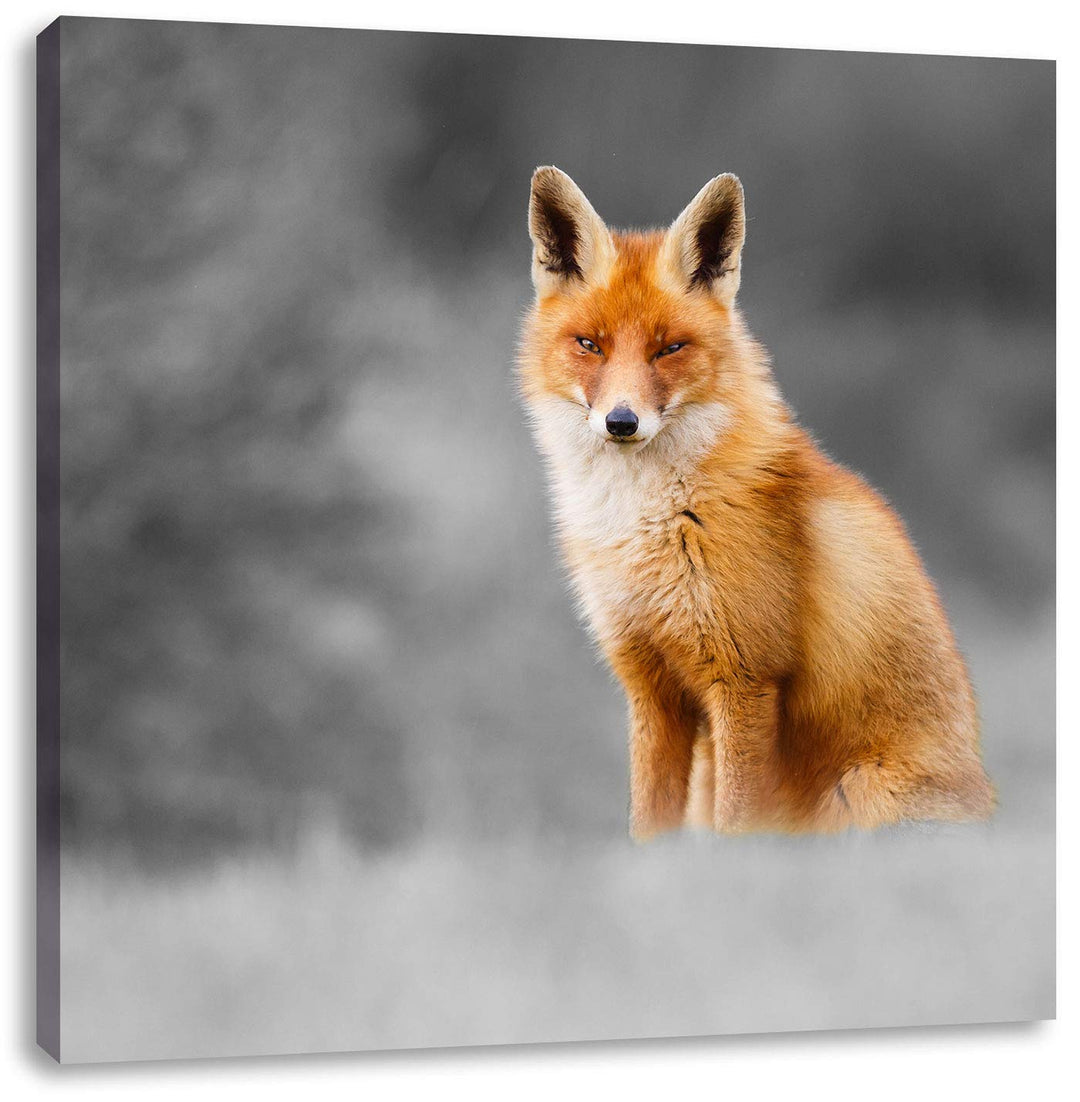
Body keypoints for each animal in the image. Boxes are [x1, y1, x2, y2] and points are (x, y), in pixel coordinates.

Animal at [518, 166, 995, 839]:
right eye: (590, 344)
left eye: (669, 349)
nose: (621, 422)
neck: (649, 524)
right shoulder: (651, 686)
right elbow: (647, 828)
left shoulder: (745, 680)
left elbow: (736, 828)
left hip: (859, 793)